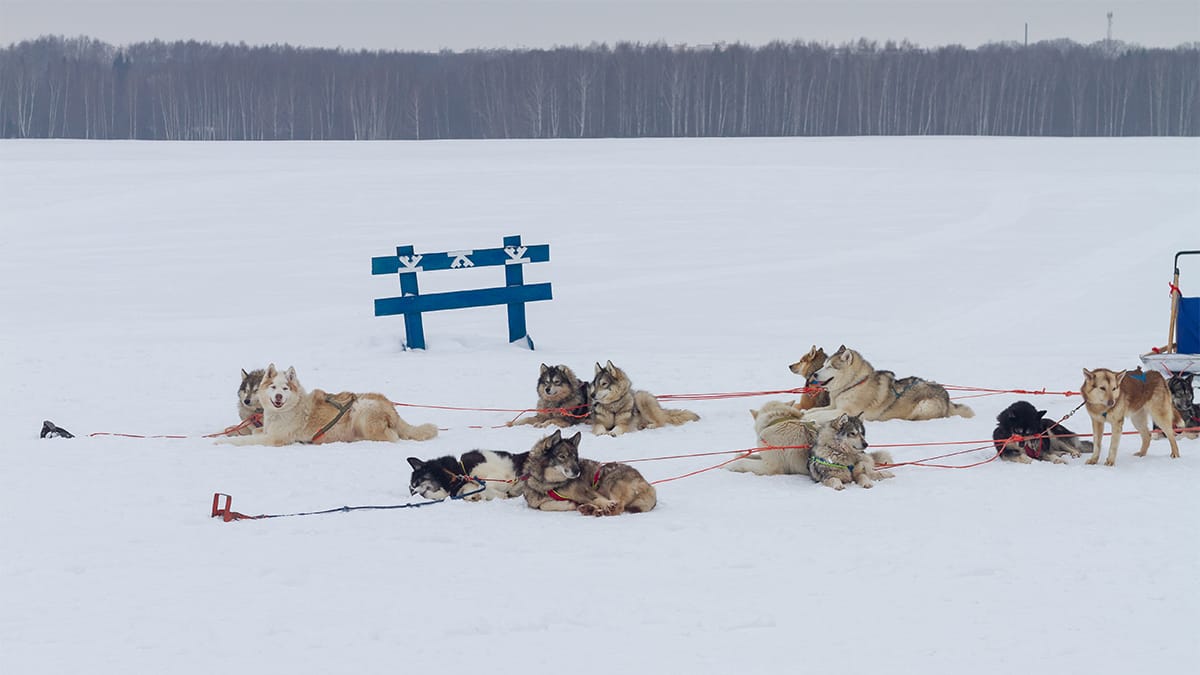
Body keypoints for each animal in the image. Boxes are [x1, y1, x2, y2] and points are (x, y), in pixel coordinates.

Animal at [218, 362, 439, 446]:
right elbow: (250, 431)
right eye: (273, 387)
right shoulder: (265, 430)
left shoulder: (273, 438)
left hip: (361, 410)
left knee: (391, 437)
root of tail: (390, 406)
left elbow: (245, 440)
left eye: (285, 388)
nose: (279, 397)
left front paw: (221, 442)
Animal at [523, 429, 657, 514]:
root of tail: (649, 487)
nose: (578, 471)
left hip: (611, 483)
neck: (552, 484)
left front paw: (606, 504)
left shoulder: (586, 490)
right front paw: (570, 504)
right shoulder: (535, 503)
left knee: (619, 507)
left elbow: (598, 498)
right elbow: (544, 505)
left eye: (575, 457)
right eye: (562, 456)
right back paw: (589, 509)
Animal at [811, 343, 969, 417]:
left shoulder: (847, 411)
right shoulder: (833, 407)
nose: (814, 374)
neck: (854, 384)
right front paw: (807, 414)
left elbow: (819, 415)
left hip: (923, 406)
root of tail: (946, 396)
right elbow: (814, 410)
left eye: (830, 367)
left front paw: (810, 418)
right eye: (823, 365)